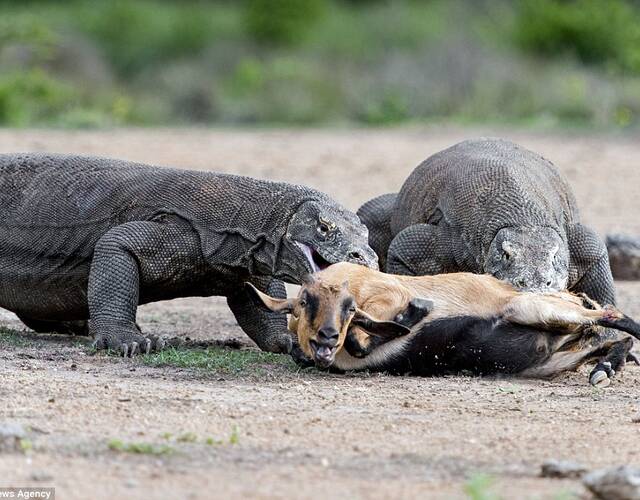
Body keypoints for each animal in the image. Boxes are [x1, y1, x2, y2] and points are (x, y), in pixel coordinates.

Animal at [248, 262, 640, 386]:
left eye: (349, 307)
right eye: (304, 302)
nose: (327, 338)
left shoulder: (386, 292)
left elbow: (364, 337)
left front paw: (416, 311)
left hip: (528, 307)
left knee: (611, 314)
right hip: (547, 358)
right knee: (604, 336)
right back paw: (604, 369)